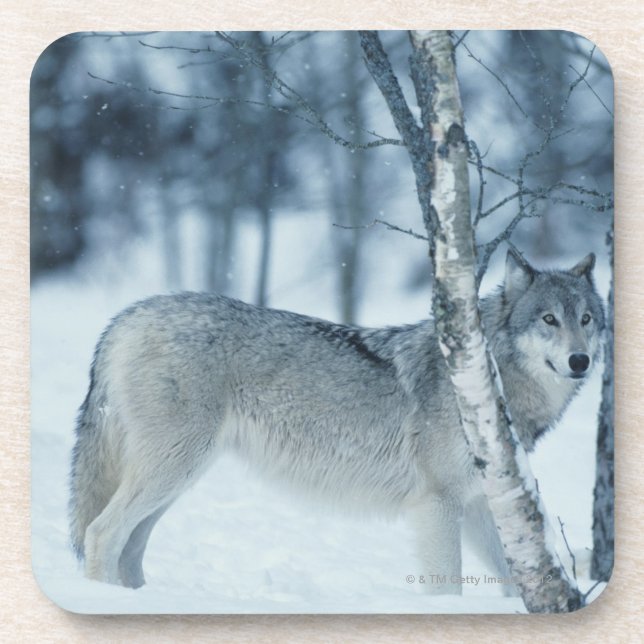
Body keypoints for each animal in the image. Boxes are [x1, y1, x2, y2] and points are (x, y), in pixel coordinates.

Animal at [69, 249, 604, 593]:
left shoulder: (476, 505)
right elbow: (447, 587)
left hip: (179, 478)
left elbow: (519, 581)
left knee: (130, 547)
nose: (580, 361)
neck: (486, 381)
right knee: (101, 532)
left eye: (586, 318)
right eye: (549, 319)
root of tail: (129, 315)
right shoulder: (437, 504)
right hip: (172, 470)